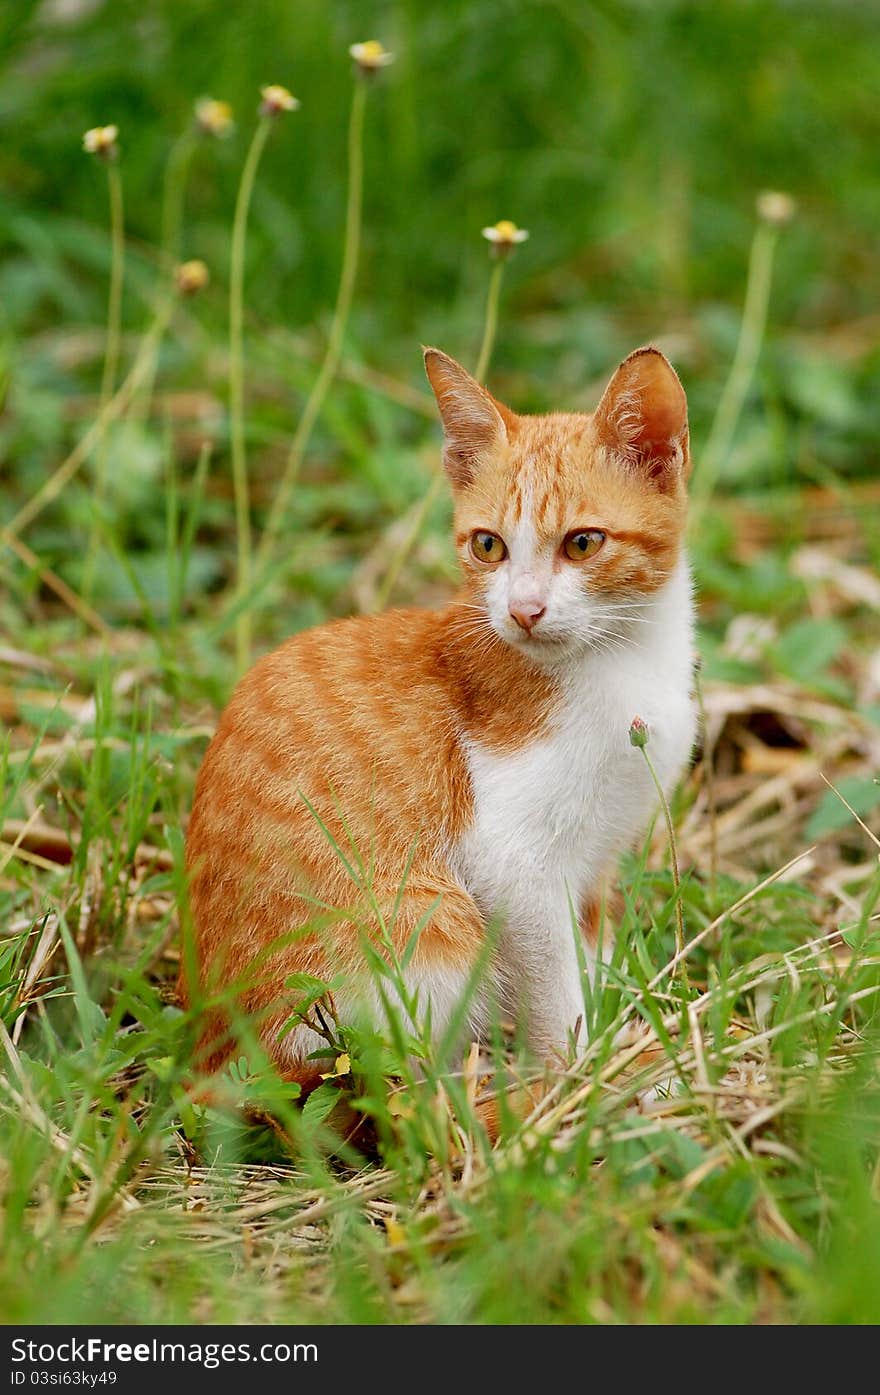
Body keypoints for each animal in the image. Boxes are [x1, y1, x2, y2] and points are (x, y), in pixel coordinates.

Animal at [182, 345, 700, 1088]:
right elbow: (555, 984)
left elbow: (592, 948)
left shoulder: (597, 863)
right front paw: (579, 1074)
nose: (523, 610)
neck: (621, 658)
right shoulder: (510, 861)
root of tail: (210, 1053)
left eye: (582, 543)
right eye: (488, 546)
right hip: (426, 930)